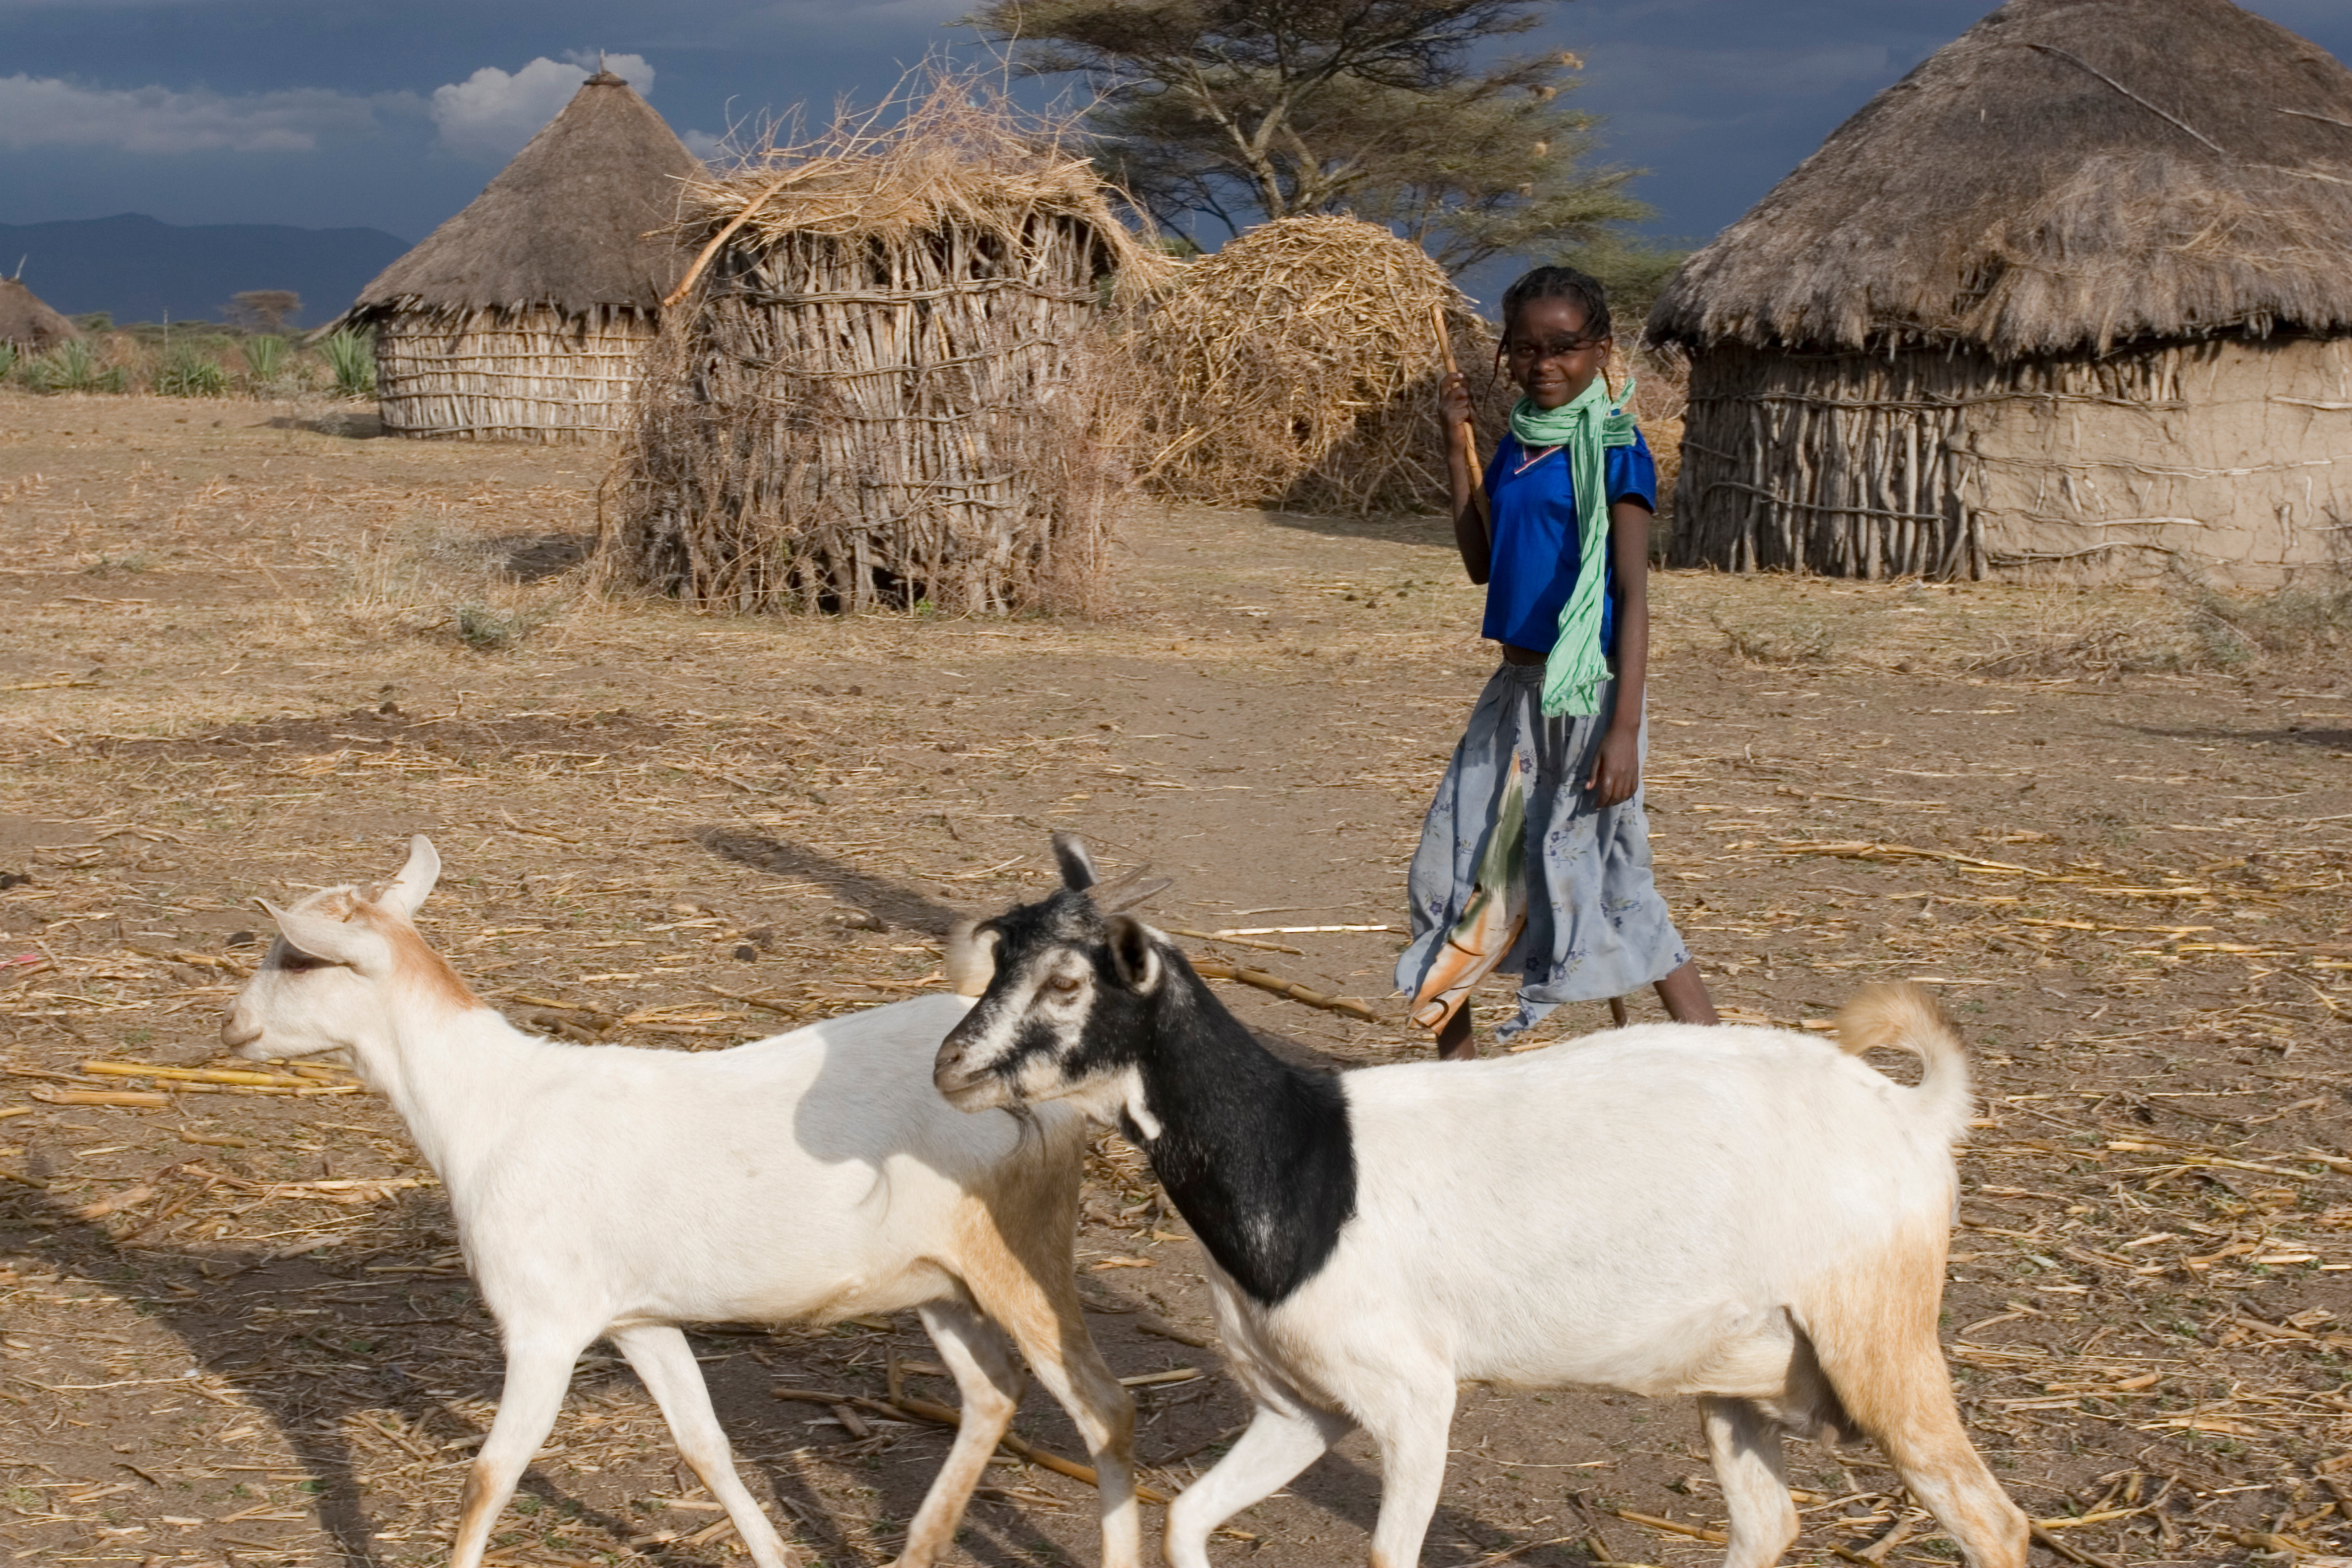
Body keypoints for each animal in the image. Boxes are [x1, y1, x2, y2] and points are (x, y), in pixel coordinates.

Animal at [221, 835, 1139, 1568]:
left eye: (298, 957)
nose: (232, 1024)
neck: (487, 1106)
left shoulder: (544, 1321)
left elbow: (492, 1472)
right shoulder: (637, 1318)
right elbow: (705, 1443)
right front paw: (775, 1555)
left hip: (1020, 1246)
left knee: (1104, 1404)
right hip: (940, 1276)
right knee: (991, 1393)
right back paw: (916, 1548)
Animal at [931, 835, 2028, 1568]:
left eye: (1069, 983)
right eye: (1001, 956)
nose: (951, 1066)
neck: (1304, 1159)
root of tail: (1911, 1114)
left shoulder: (1414, 1398)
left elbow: (1387, 1554)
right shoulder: (1302, 1405)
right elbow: (1189, 1514)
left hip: (1878, 1340)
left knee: (1993, 1520)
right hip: (1743, 1372)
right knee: (1769, 1522)